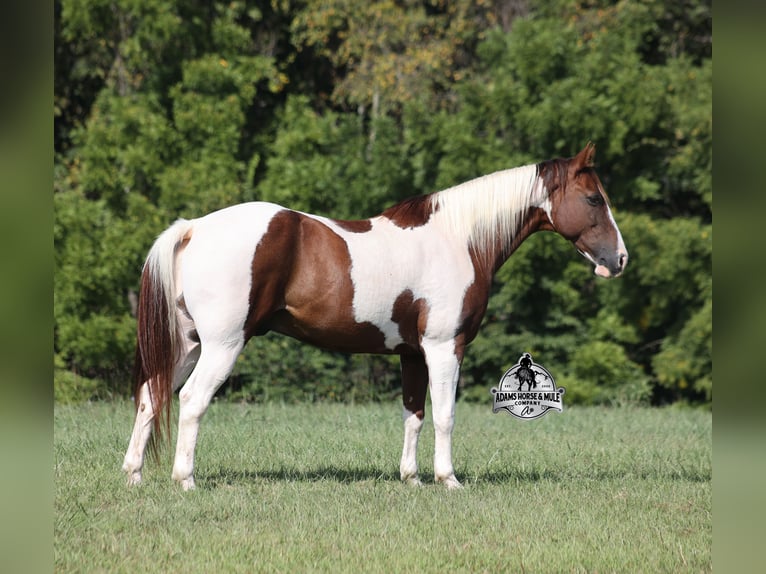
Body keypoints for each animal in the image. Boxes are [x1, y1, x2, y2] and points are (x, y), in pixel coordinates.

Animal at [122, 142, 627, 491]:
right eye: (594, 199)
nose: (619, 259)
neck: (459, 238)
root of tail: (194, 228)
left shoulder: (412, 353)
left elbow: (414, 414)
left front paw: (412, 478)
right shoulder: (445, 347)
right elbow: (445, 415)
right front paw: (448, 479)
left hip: (188, 344)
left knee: (151, 397)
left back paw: (133, 475)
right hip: (223, 346)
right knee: (191, 401)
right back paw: (185, 480)